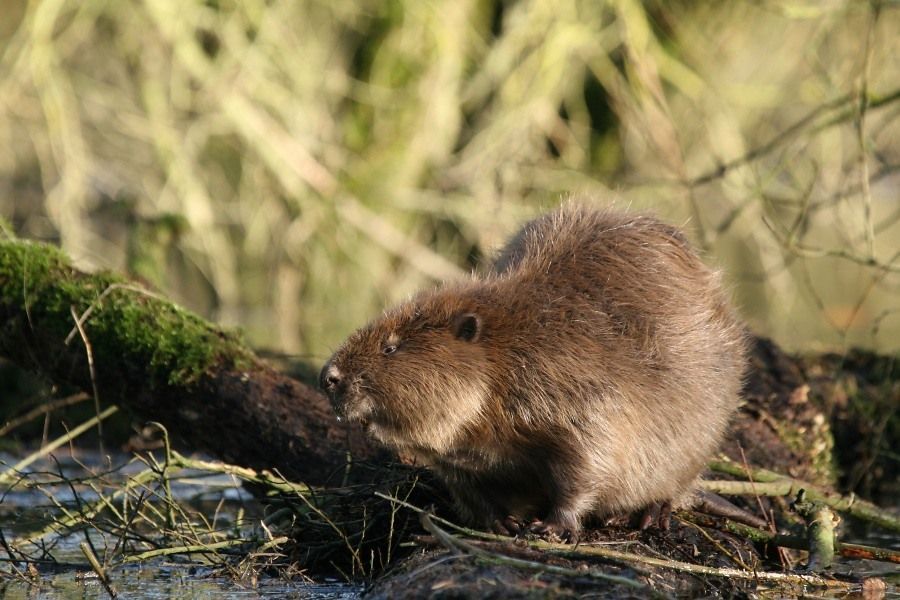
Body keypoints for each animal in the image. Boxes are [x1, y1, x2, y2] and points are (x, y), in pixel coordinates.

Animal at [320, 203, 748, 540]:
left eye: (391, 346)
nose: (329, 376)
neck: (512, 347)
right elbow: (471, 487)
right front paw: (501, 522)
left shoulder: (583, 395)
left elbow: (588, 464)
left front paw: (552, 527)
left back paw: (648, 512)